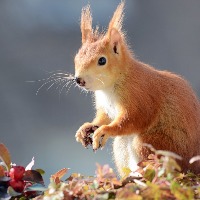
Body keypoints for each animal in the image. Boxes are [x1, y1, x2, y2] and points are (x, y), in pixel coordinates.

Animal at [74, 1, 200, 177]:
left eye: (102, 60)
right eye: (77, 56)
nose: (79, 79)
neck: (110, 86)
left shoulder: (139, 94)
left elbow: (134, 118)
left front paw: (106, 130)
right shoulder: (105, 106)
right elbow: (103, 117)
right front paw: (86, 127)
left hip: (157, 146)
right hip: (123, 147)